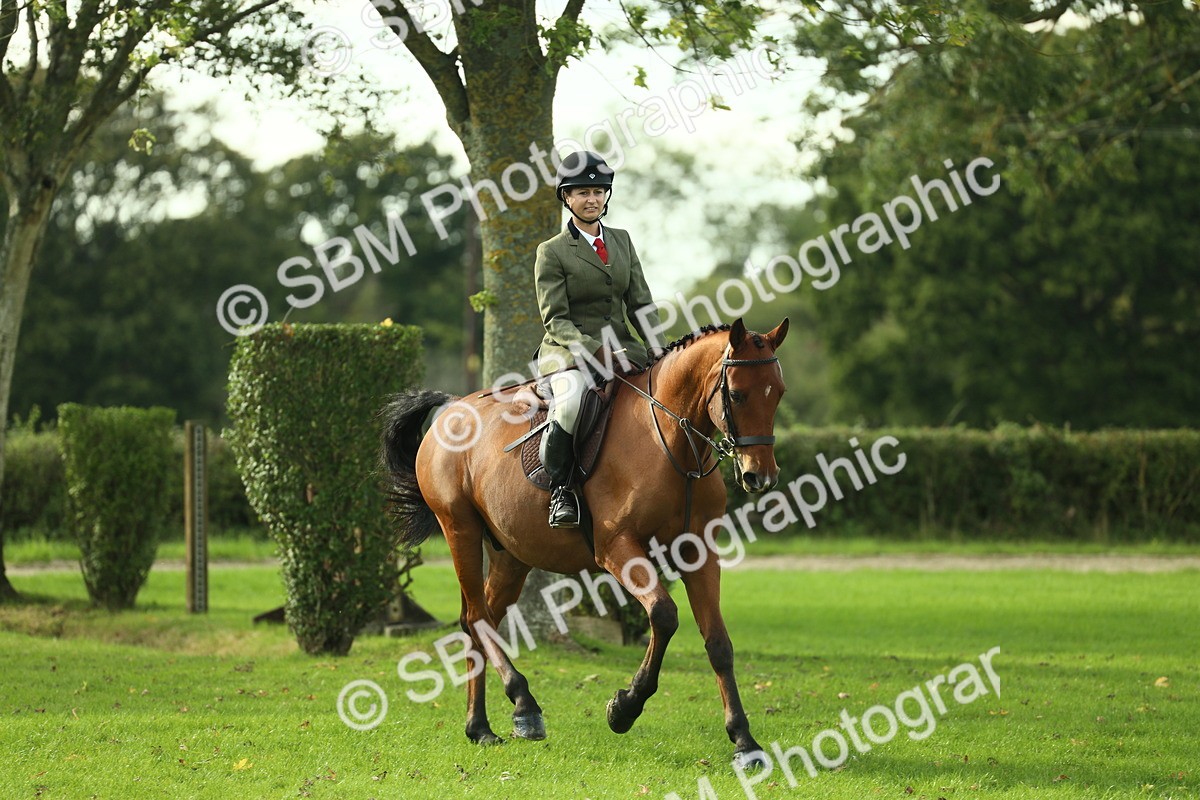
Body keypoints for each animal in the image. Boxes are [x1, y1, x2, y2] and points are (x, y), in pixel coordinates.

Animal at [380, 317, 789, 769]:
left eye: (778, 393)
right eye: (736, 394)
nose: (760, 476)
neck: (671, 443)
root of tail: (452, 407)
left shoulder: (698, 553)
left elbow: (718, 643)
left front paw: (745, 742)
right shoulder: (617, 548)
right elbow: (664, 615)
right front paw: (624, 708)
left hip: (510, 555)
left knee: (480, 620)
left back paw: (481, 727)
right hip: (460, 530)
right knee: (476, 617)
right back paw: (525, 707)